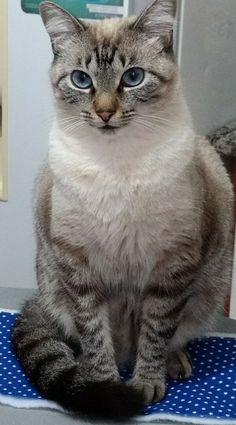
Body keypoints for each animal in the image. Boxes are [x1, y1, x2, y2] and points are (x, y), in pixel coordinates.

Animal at [12, 0, 233, 418]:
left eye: (132, 77)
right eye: (81, 80)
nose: (104, 113)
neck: (117, 165)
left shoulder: (172, 264)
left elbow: (156, 334)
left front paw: (145, 385)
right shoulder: (77, 264)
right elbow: (95, 337)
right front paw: (104, 388)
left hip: (207, 292)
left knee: (172, 337)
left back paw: (174, 364)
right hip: (56, 287)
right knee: (79, 340)